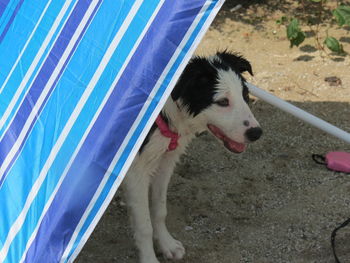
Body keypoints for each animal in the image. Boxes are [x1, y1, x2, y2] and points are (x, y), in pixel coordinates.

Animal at [123, 51, 262, 263]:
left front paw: (167, 245)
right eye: (222, 101)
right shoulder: (136, 171)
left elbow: (159, 210)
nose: (257, 133)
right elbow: (144, 226)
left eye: (245, 95)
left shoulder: (165, 160)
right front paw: (149, 258)